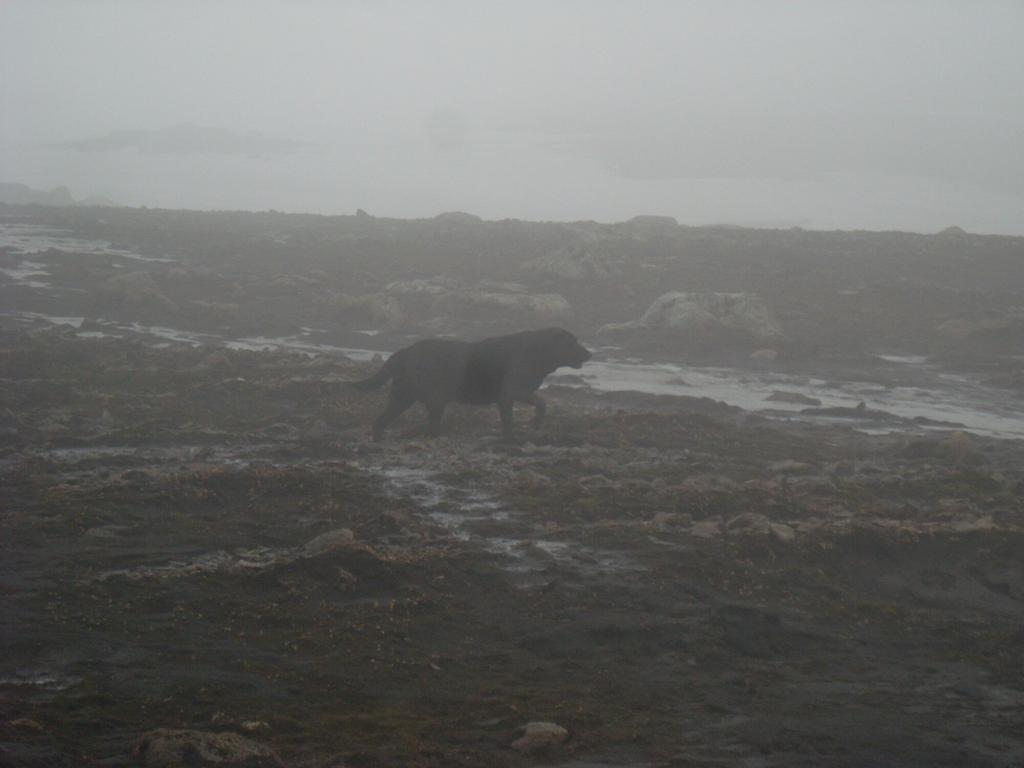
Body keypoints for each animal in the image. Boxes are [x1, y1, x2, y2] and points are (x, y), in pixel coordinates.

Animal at [352, 327, 593, 442]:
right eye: (572, 343)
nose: (590, 354)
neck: (539, 351)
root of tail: (406, 351)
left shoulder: (510, 397)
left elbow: (514, 418)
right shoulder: (513, 392)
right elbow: (541, 404)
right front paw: (532, 425)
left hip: (403, 397)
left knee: (381, 421)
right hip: (432, 400)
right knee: (429, 426)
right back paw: (410, 433)